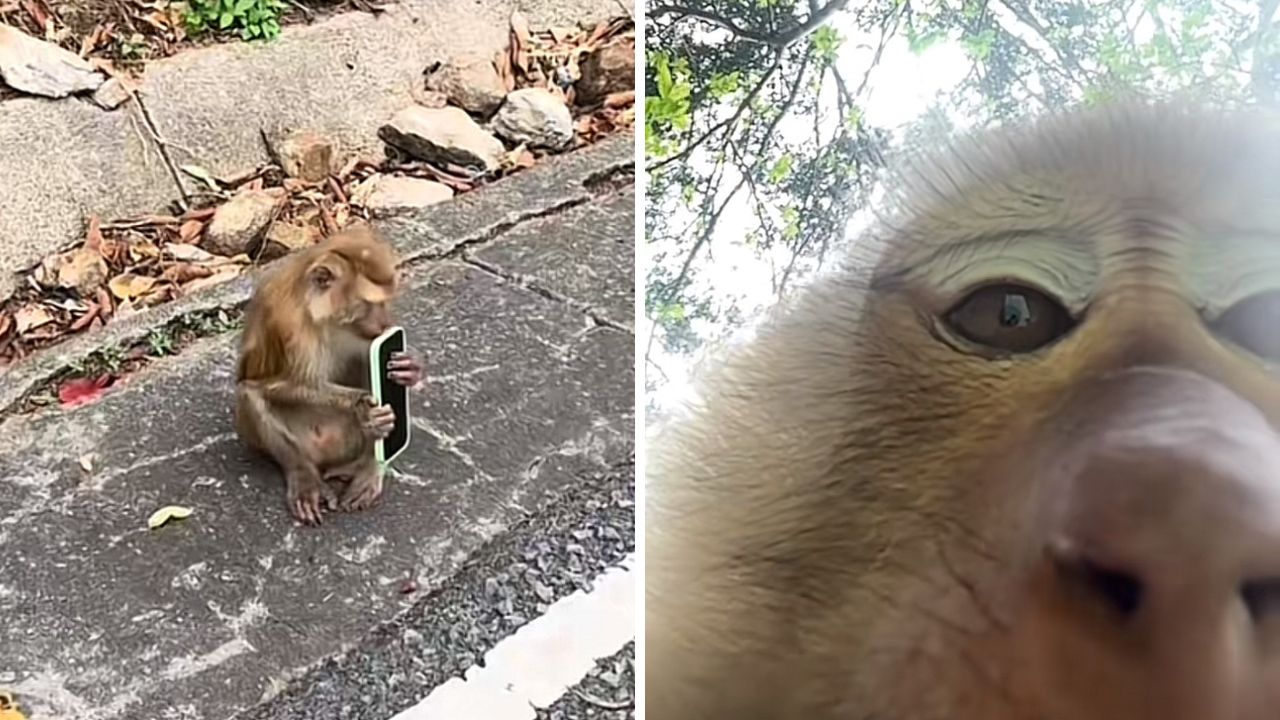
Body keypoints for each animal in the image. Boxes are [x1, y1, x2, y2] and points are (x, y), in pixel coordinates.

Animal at [234, 224, 423, 525]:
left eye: (386, 302)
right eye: (369, 303)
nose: (385, 323)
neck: (324, 317)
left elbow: (368, 358)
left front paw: (410, 367)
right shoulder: (287, 323)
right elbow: (270, 382)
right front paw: (362, 405)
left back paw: (368, 464)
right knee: (248, 394)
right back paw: (304, 474)